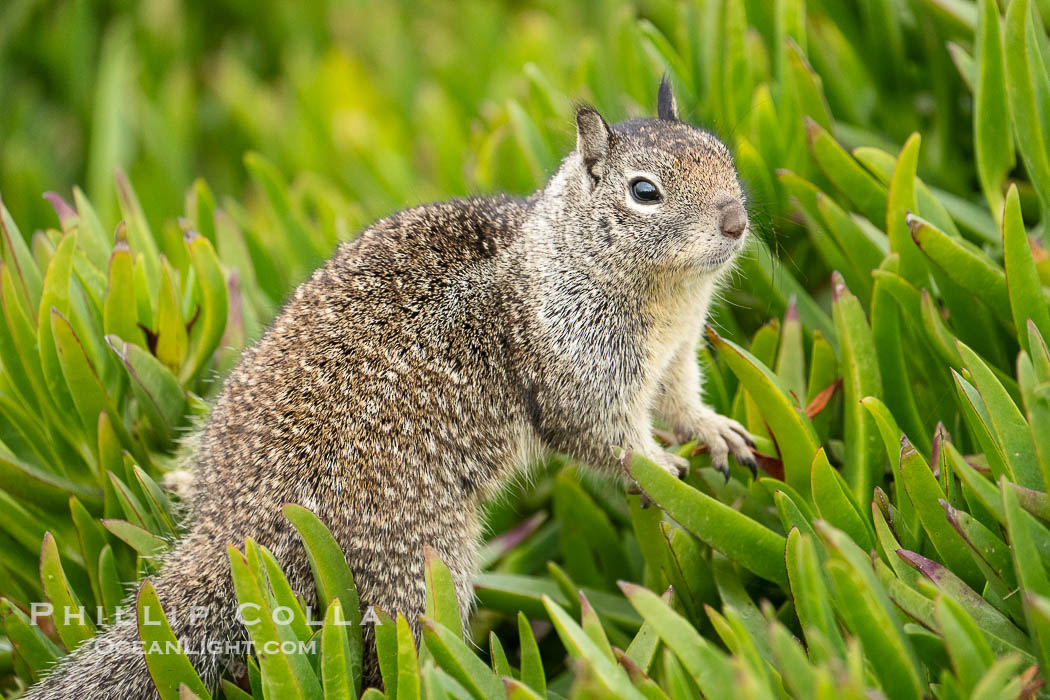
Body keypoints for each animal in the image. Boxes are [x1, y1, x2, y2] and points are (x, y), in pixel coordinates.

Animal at [24, 76, 755, 696]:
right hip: (412, 558)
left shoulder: (675, 357)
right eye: (644, 191)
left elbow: (680, 402)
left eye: (724, 155)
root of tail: (235, 530)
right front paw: (659, 466)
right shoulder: (579, 366)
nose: (736, 221)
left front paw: (714, 433)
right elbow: (602, 436)